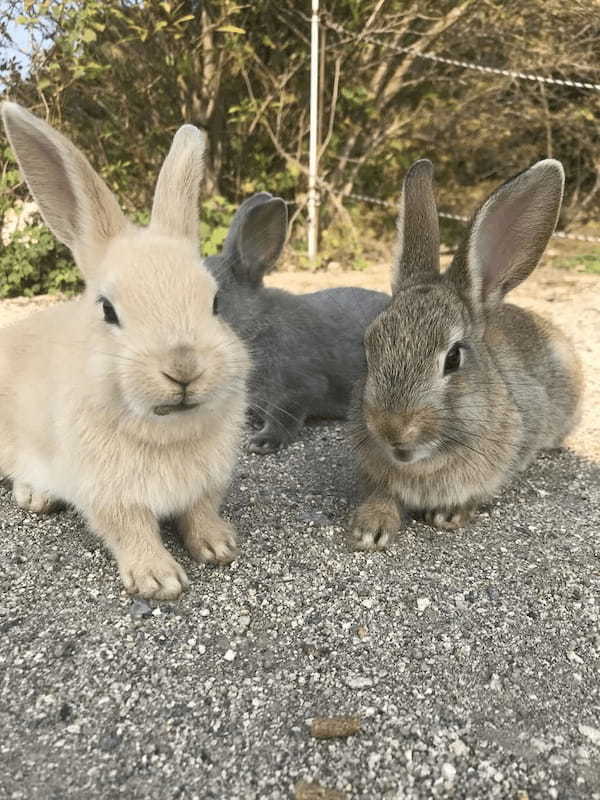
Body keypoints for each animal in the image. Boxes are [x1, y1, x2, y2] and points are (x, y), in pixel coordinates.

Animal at [0, 103, 248, 596]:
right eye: (108, 309)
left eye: (215, 302)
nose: (183, 368)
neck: (167, 431)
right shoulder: (109, 495)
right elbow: (131, 529)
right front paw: (159, 579)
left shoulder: (205, 485)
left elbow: (200, 512)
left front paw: (218, 546)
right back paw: (36, 494)